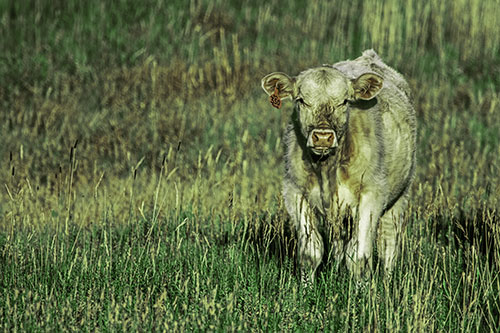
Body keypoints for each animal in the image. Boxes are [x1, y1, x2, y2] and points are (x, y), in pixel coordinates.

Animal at [260, 50, 416, 282]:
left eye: (344, 101)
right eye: (302, 100)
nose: (323, 137)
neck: (326, 169)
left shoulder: (371, 195)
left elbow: (359, 256)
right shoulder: (295, 193)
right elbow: (310, 253)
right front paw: (306, 288)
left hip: (401, 194)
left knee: (388, 242)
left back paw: (387, 281)